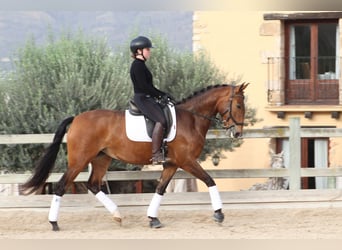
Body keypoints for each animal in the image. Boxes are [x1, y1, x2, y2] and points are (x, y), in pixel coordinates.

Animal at [21, 83, 248, 231]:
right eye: (238, 106)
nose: (237, 133)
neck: (191, 119)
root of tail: (76, 118)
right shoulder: (187, 161)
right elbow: (210, 180)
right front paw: (219, 214)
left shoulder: (172, 164)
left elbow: (160, 189)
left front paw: (153, 219)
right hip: (79, 161)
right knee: (61, 186)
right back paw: (54, 223)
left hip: (101, 158)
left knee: (93, 184)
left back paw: (117, 215)